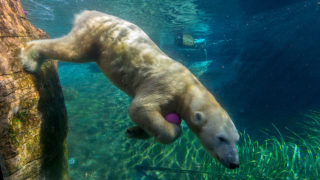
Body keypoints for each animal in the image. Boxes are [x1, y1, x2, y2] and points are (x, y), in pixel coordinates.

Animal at [19, 10, 240, 169]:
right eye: (221, 138)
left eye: (236, 140)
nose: (234, 163)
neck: (188, 87)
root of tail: (88, 12)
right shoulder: (165, 86)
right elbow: (140, 108)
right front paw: (172, 129)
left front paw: (135, 131)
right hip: (97, 36)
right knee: (72, 50)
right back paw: (29, 57)